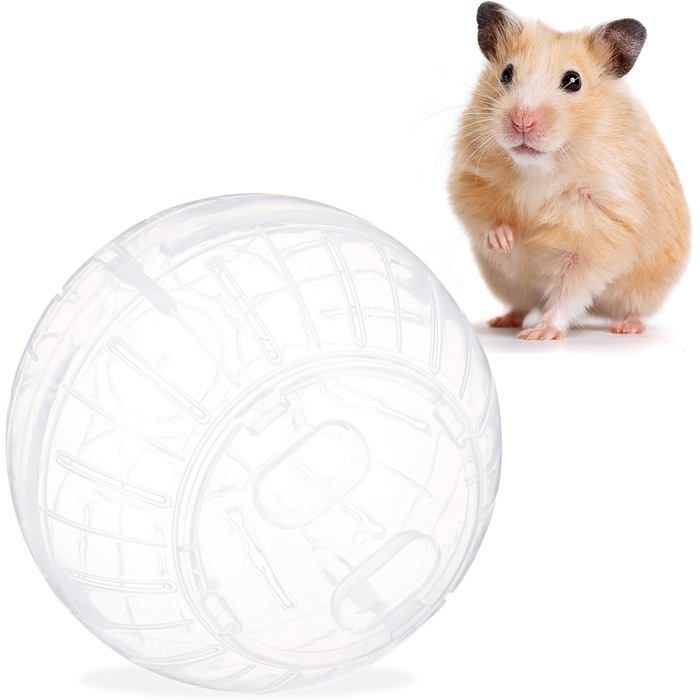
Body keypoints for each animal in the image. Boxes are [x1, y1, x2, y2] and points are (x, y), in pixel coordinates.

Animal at [448, 2, 690, 340]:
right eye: (506, 73)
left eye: (573, 81)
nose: (522, 122)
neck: (539, 167)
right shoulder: (470, 178)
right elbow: (484, 216)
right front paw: (505, 240)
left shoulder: (597, 231)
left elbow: (569, 289)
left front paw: (540, 334)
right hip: (507, 282)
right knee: (522, 303)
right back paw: (502, 320)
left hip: (645, 287)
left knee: (631, 307)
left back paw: (626, 327)